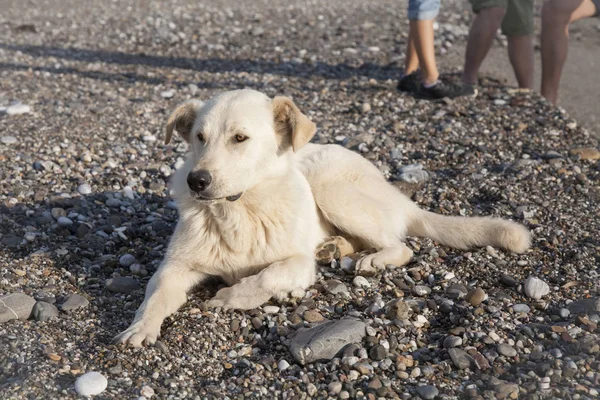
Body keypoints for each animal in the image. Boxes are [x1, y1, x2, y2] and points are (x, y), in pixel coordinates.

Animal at [113, 89, 528, 346]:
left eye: (240, 138)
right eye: (199, 137)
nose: (196, 181)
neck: (239, 210)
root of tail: (395, 193)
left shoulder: (297, 261)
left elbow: (268, 275)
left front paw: (232, 296)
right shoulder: (175, 267)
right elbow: (155, 297)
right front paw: (140, 327)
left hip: (328, 185)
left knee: (401, 245)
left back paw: (372, 258)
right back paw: (334, 247)